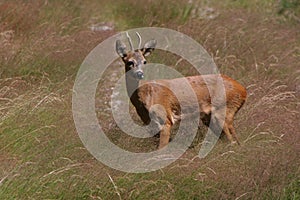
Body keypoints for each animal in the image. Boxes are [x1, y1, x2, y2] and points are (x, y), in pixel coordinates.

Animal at [115, 32, 246, 149]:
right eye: (130, 62)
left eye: (144, 61)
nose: (140, 74)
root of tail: (243, 90)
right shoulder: (147, 122)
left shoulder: (165, 119)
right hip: (210, 117)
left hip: (224, 110)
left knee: (232, 139)